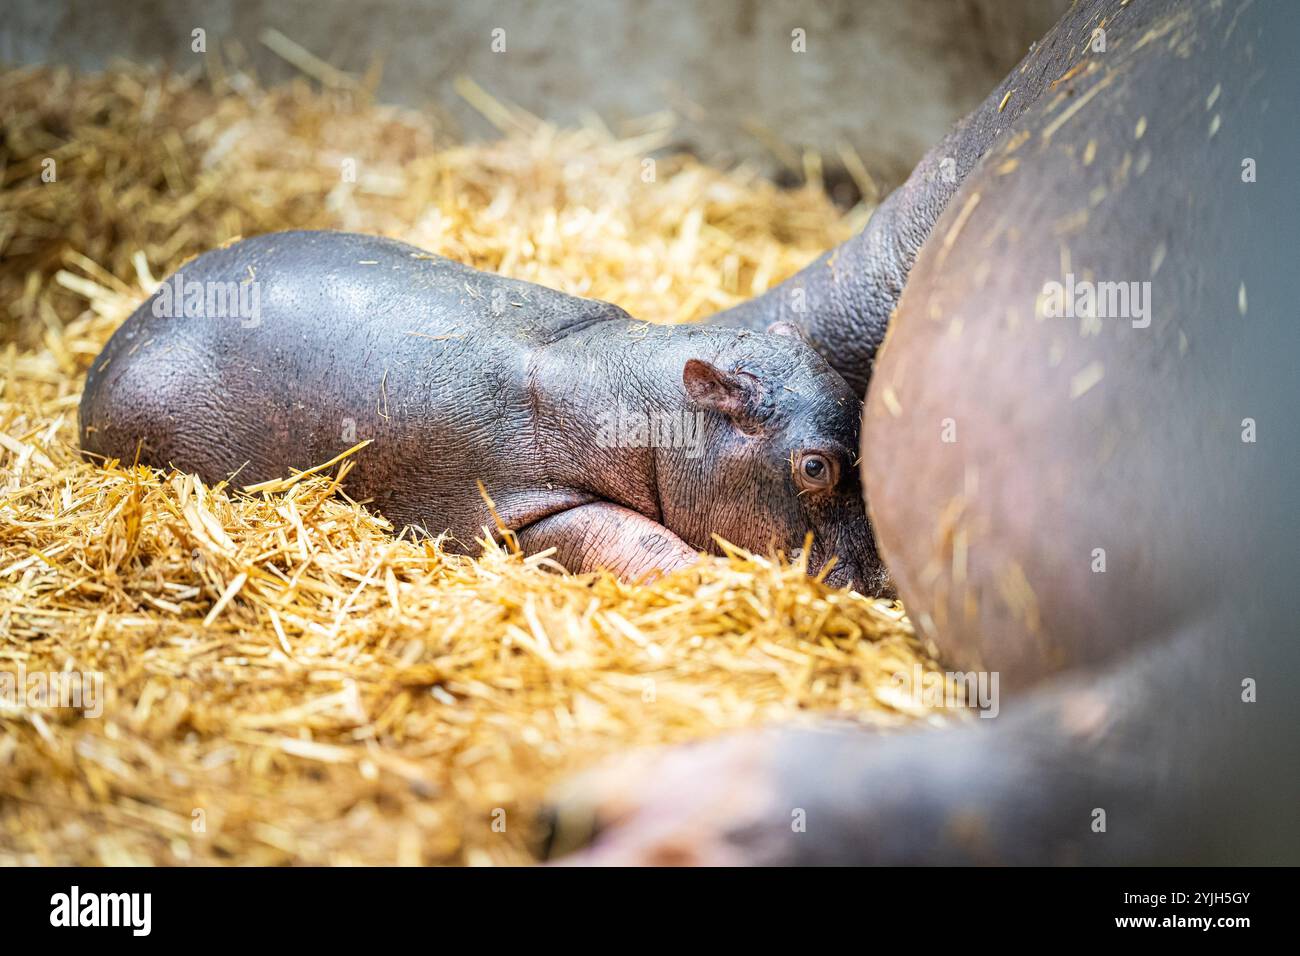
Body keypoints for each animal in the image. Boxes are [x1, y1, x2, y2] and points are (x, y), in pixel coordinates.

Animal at [78, 231, 883, 590]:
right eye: (816, 467)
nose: (879, 581)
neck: (652, 406)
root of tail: (115, 342)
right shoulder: (522, 504)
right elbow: (634, 542)